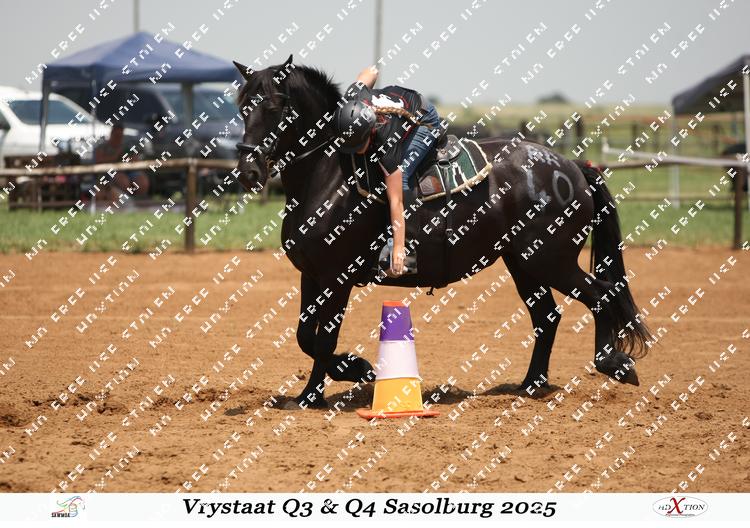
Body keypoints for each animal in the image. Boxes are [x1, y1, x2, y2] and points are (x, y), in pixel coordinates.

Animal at [231, 55, 650, 409]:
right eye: (242, 106)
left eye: (274, 107)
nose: (248, 170)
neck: (330, 177)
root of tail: (572, 166)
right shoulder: (312, 275)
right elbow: (305, 335)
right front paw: (342, 375)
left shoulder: (337, 278)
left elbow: (323, 338)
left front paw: (321, 390)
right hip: (523, 264)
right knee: (547, 316)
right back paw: (531, 383)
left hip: (552, 260)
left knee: (600, 295)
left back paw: (615, 364)